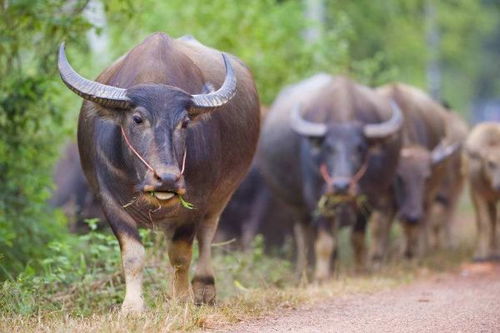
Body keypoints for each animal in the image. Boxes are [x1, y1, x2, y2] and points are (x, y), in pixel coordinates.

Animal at [58, 33, 260, 312]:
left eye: (184, 123)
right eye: (137, 119)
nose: (167, 179)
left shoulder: (197, 200)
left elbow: (181, 253)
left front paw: (182, 299)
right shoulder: (108, 200)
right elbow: (133, 254)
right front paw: (132, 306)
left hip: (223, 194)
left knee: (207, 233)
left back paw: (204, 289)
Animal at [258, 73, 402, 280]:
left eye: (360, 148)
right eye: (328, 148)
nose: (341, 186)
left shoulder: (368, 198)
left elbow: (357, 237)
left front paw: (360, 268)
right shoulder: (316, 198)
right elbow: (324, 240)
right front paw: (321, 275)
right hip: (296, 205)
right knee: (303, 233)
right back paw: (304, 271)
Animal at [376, 82, 462, 256]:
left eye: (426, 177)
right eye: (399, 177)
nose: (413, 215)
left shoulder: (427, 195)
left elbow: (418, 224)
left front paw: (416, 251)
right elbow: (384, 222)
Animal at [462, 123, 500, 260]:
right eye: (490, 163)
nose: (499, 185)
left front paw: (497, 252)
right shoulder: (478, 195)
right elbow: (484, 223)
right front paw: (481, 254)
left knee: (494, 218)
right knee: (485, 219)